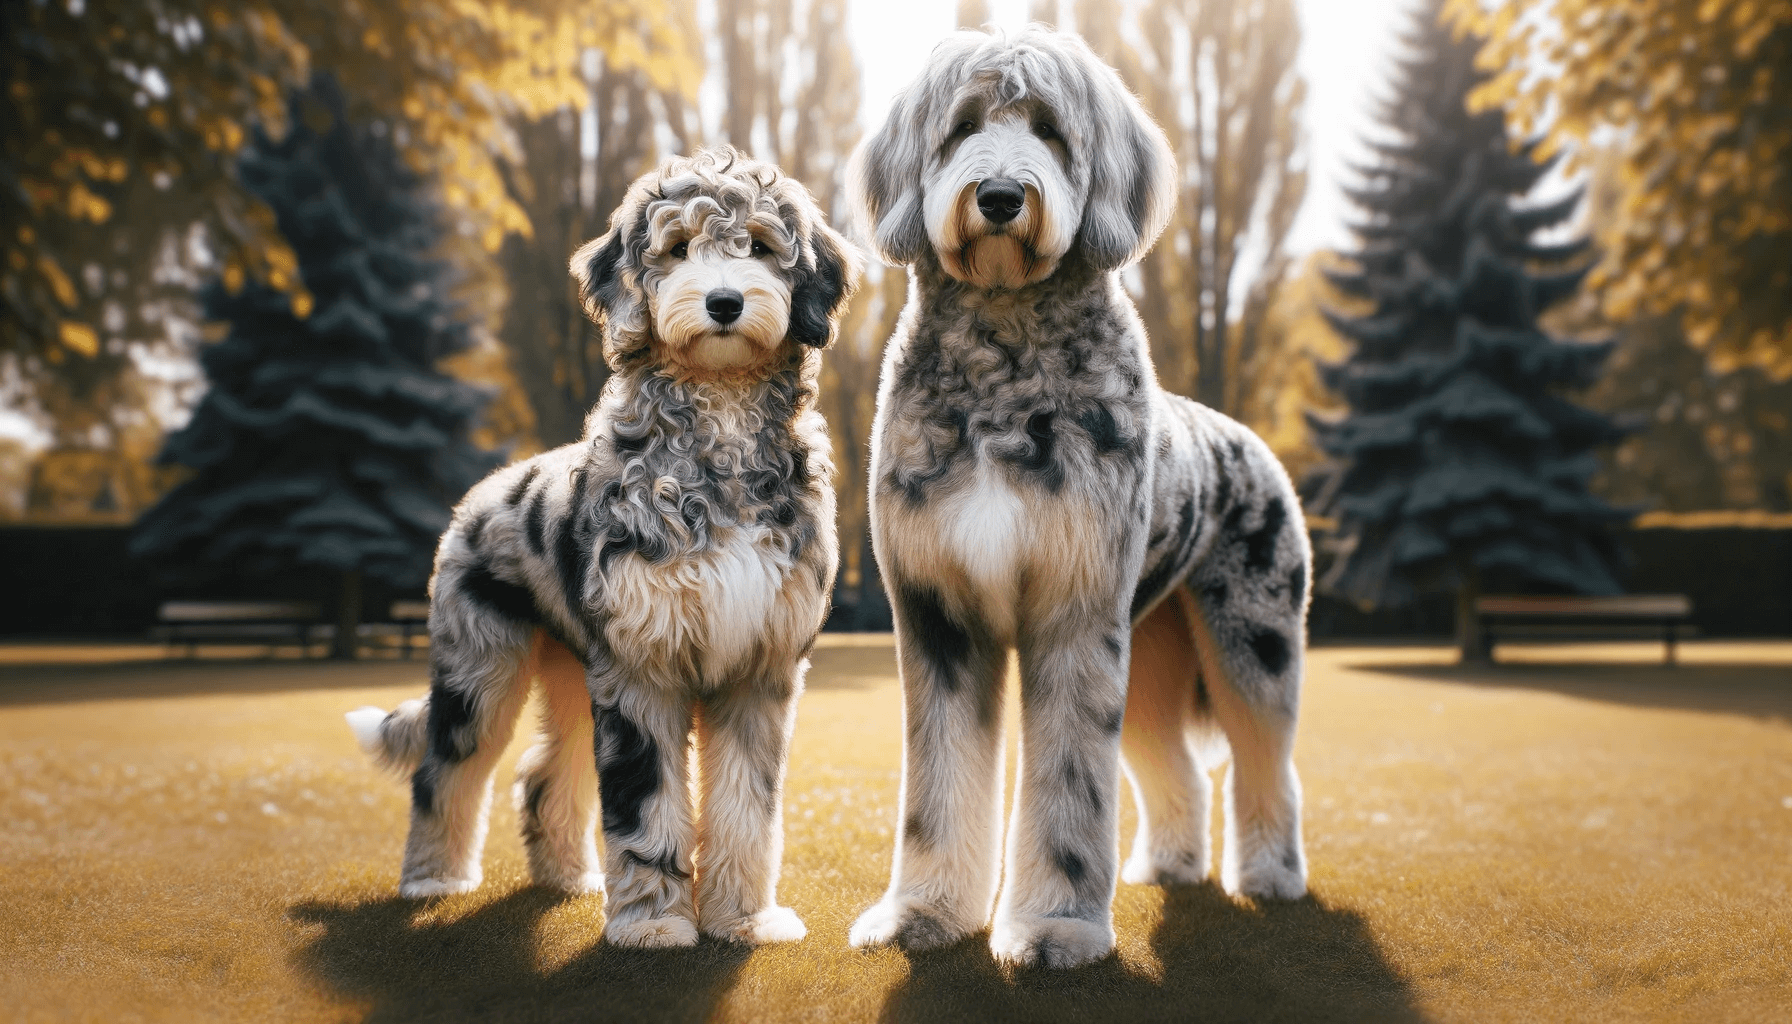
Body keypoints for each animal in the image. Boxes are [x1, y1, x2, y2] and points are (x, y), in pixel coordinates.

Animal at [345, 147, 863, 946]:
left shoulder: (760, 666)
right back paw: (433, 879)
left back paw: (568, 877)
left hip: (570, 668)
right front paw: (653, 924)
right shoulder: (641, 666)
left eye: (760, 246)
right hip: (478, 667)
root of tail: (482, 491)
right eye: (677, 248)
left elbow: (747, 808)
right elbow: (645, 801)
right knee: (448, 770)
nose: (723, 302)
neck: (718, 431)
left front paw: (743, 919)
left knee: (545, 777)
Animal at [838, 26, 1318, 968]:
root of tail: (1251, 441)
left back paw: (1272, 876)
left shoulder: (1073, 607)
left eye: (1052, 130)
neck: (1001, 353)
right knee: (1174, 767)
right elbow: (937, 786)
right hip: (1153, 654)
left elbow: (1068, 780)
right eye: (963, 125)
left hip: (1256, 643)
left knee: (1267, 762)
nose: (998, 196)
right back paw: (1169, 865)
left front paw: (1055, 926)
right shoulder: (938, 611)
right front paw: (922, 913)